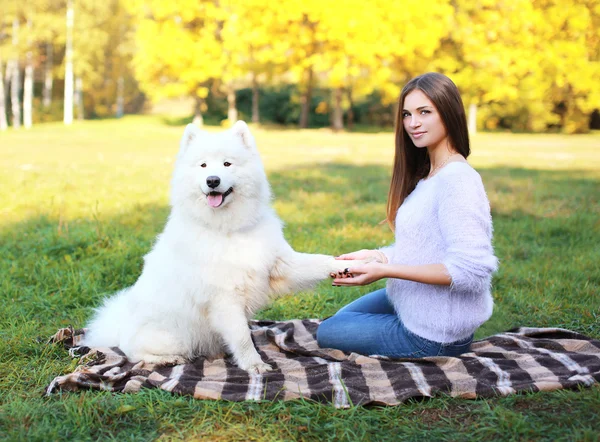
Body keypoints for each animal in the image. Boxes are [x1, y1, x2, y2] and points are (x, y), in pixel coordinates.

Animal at [81, 120, 358, 372]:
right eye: (203, 165)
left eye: (227, 164)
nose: (212, 180)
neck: (228, 229)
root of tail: (119, 325)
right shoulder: (224, 299)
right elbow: (242, 337)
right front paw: (254, 365)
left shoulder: (279, 265)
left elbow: (317, 261)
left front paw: (346, 265)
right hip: (172, 336)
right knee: (133, 352)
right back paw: (167, 359)